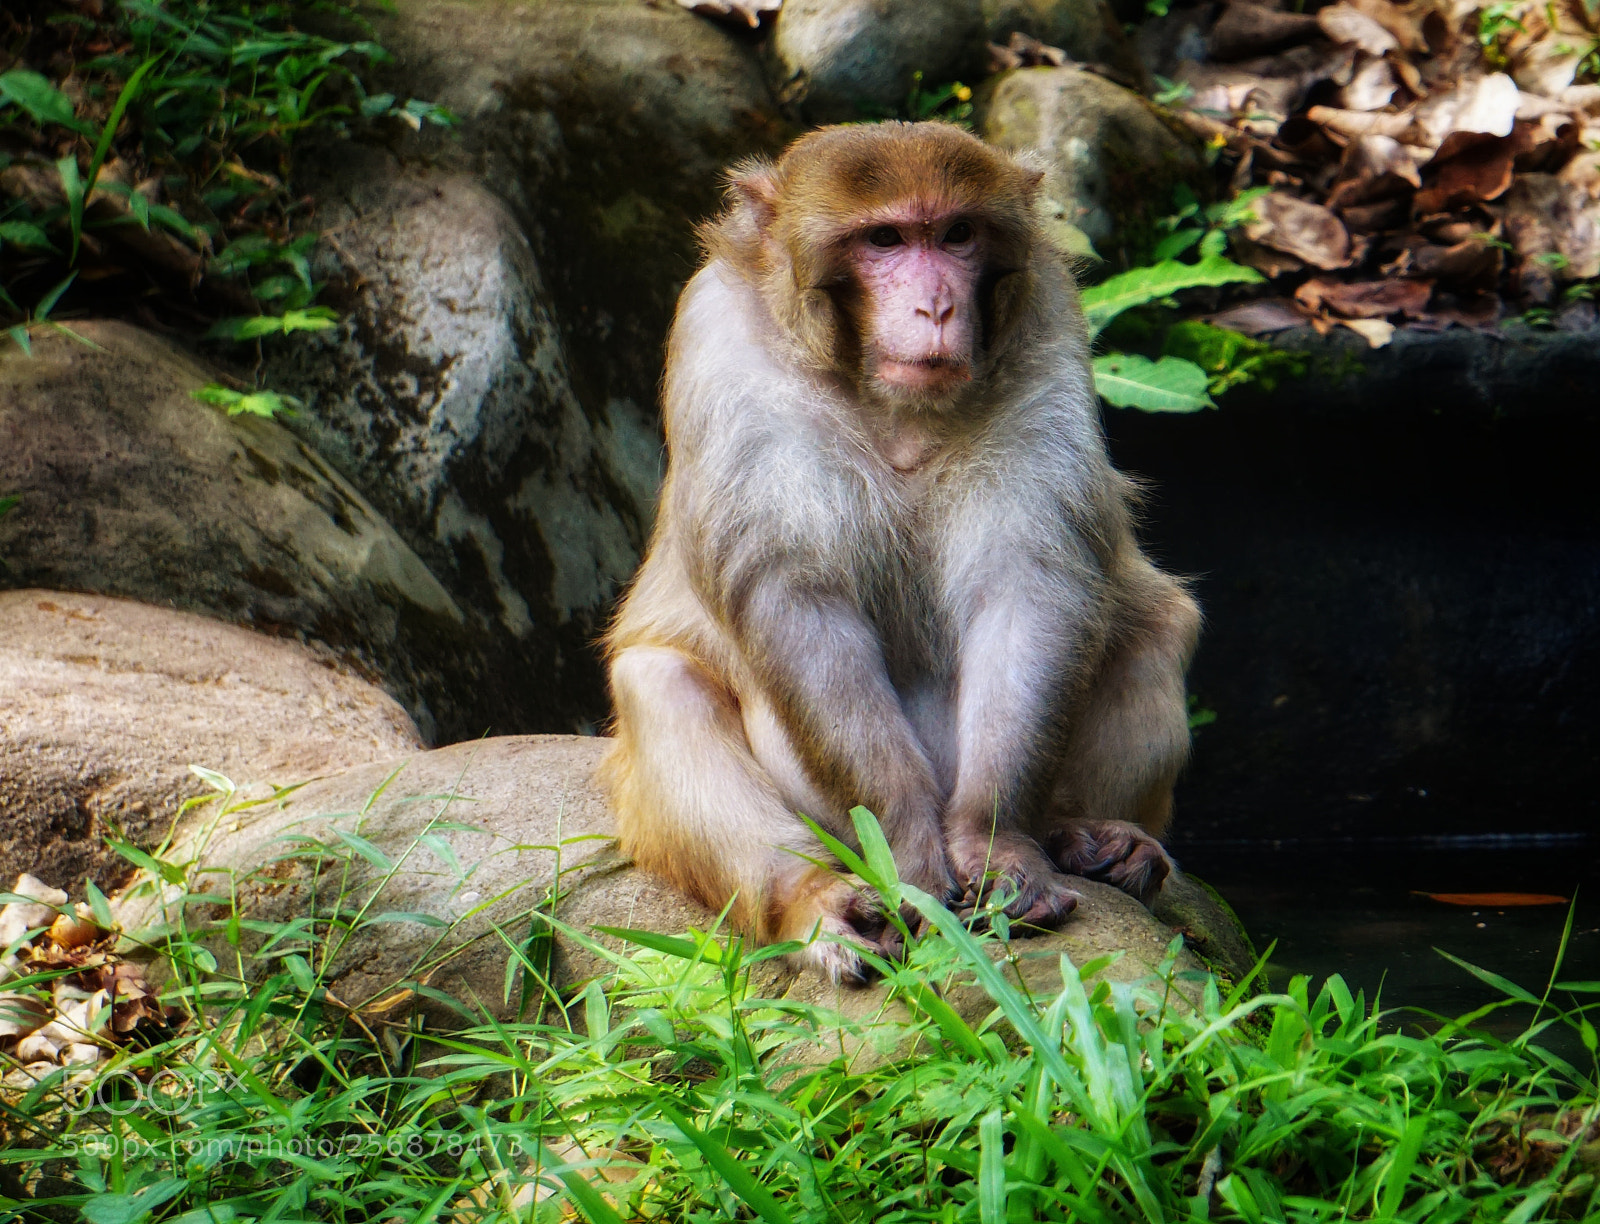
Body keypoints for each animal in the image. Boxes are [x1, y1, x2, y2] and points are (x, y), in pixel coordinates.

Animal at [599, 121, 1200, 983]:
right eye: (884, 239)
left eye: (955, 235)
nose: (937, 304)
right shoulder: (720, 343)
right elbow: (798, 603)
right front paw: (910, 849)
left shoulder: (1049, 324)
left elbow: (1029, 585)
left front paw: (995, 844)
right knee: (660, 682)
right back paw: (815, 903)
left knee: (1158, 623)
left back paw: (1091, 835)